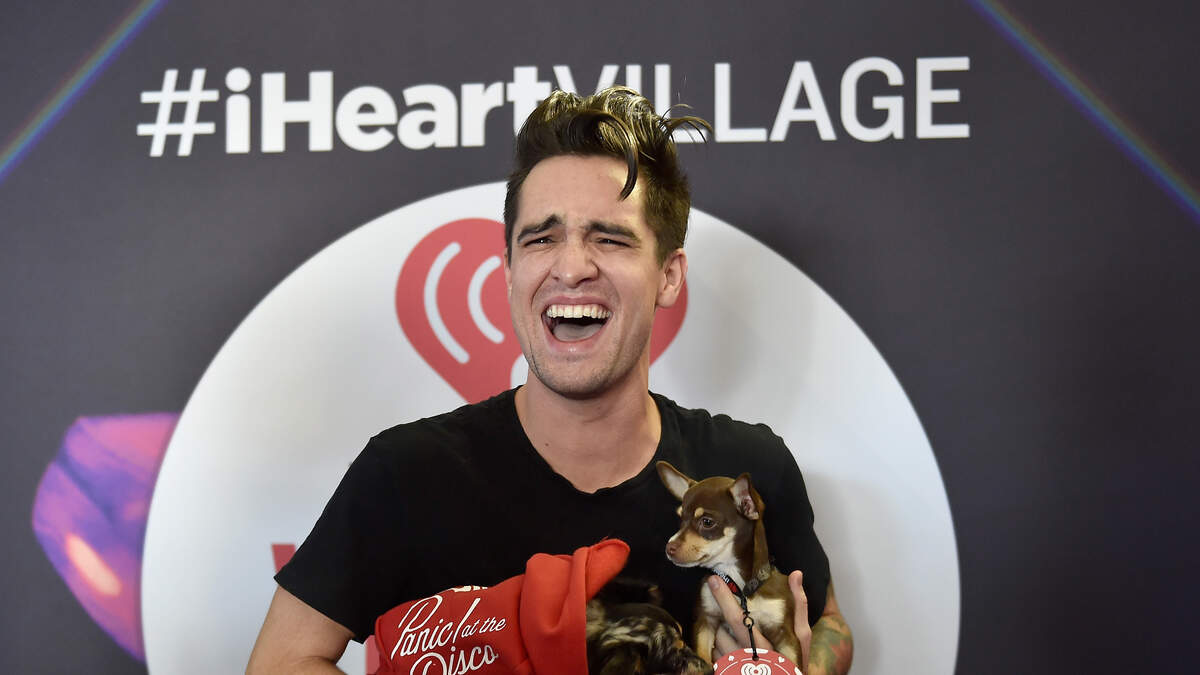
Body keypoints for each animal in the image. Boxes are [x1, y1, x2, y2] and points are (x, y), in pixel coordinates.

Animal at [656, 461, 801, 666]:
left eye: (707, 522)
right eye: (680, 520)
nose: (669, 547)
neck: (739, 586)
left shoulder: (785, 635)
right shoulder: (705, 620)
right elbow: (702, 656)